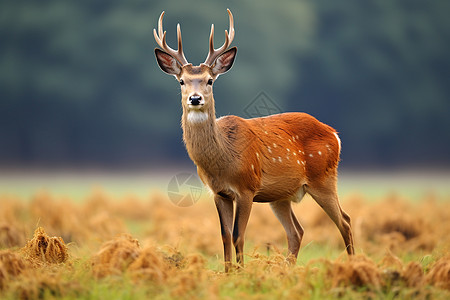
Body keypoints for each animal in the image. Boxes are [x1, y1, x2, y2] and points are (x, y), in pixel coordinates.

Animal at [155, 8, 356, 272]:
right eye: (181, 81)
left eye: (210, 80)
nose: (195, 98)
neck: (223, 159)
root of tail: (334, 134)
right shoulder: (218, 193)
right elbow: (224, 235)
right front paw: (228, 273)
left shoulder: (247, 187)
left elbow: (239, 235)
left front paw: (242, 273)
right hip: (281, 196)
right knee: (297, 231)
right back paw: (287, 271)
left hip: (323, 177)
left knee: (345, 221)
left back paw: (356, 266)